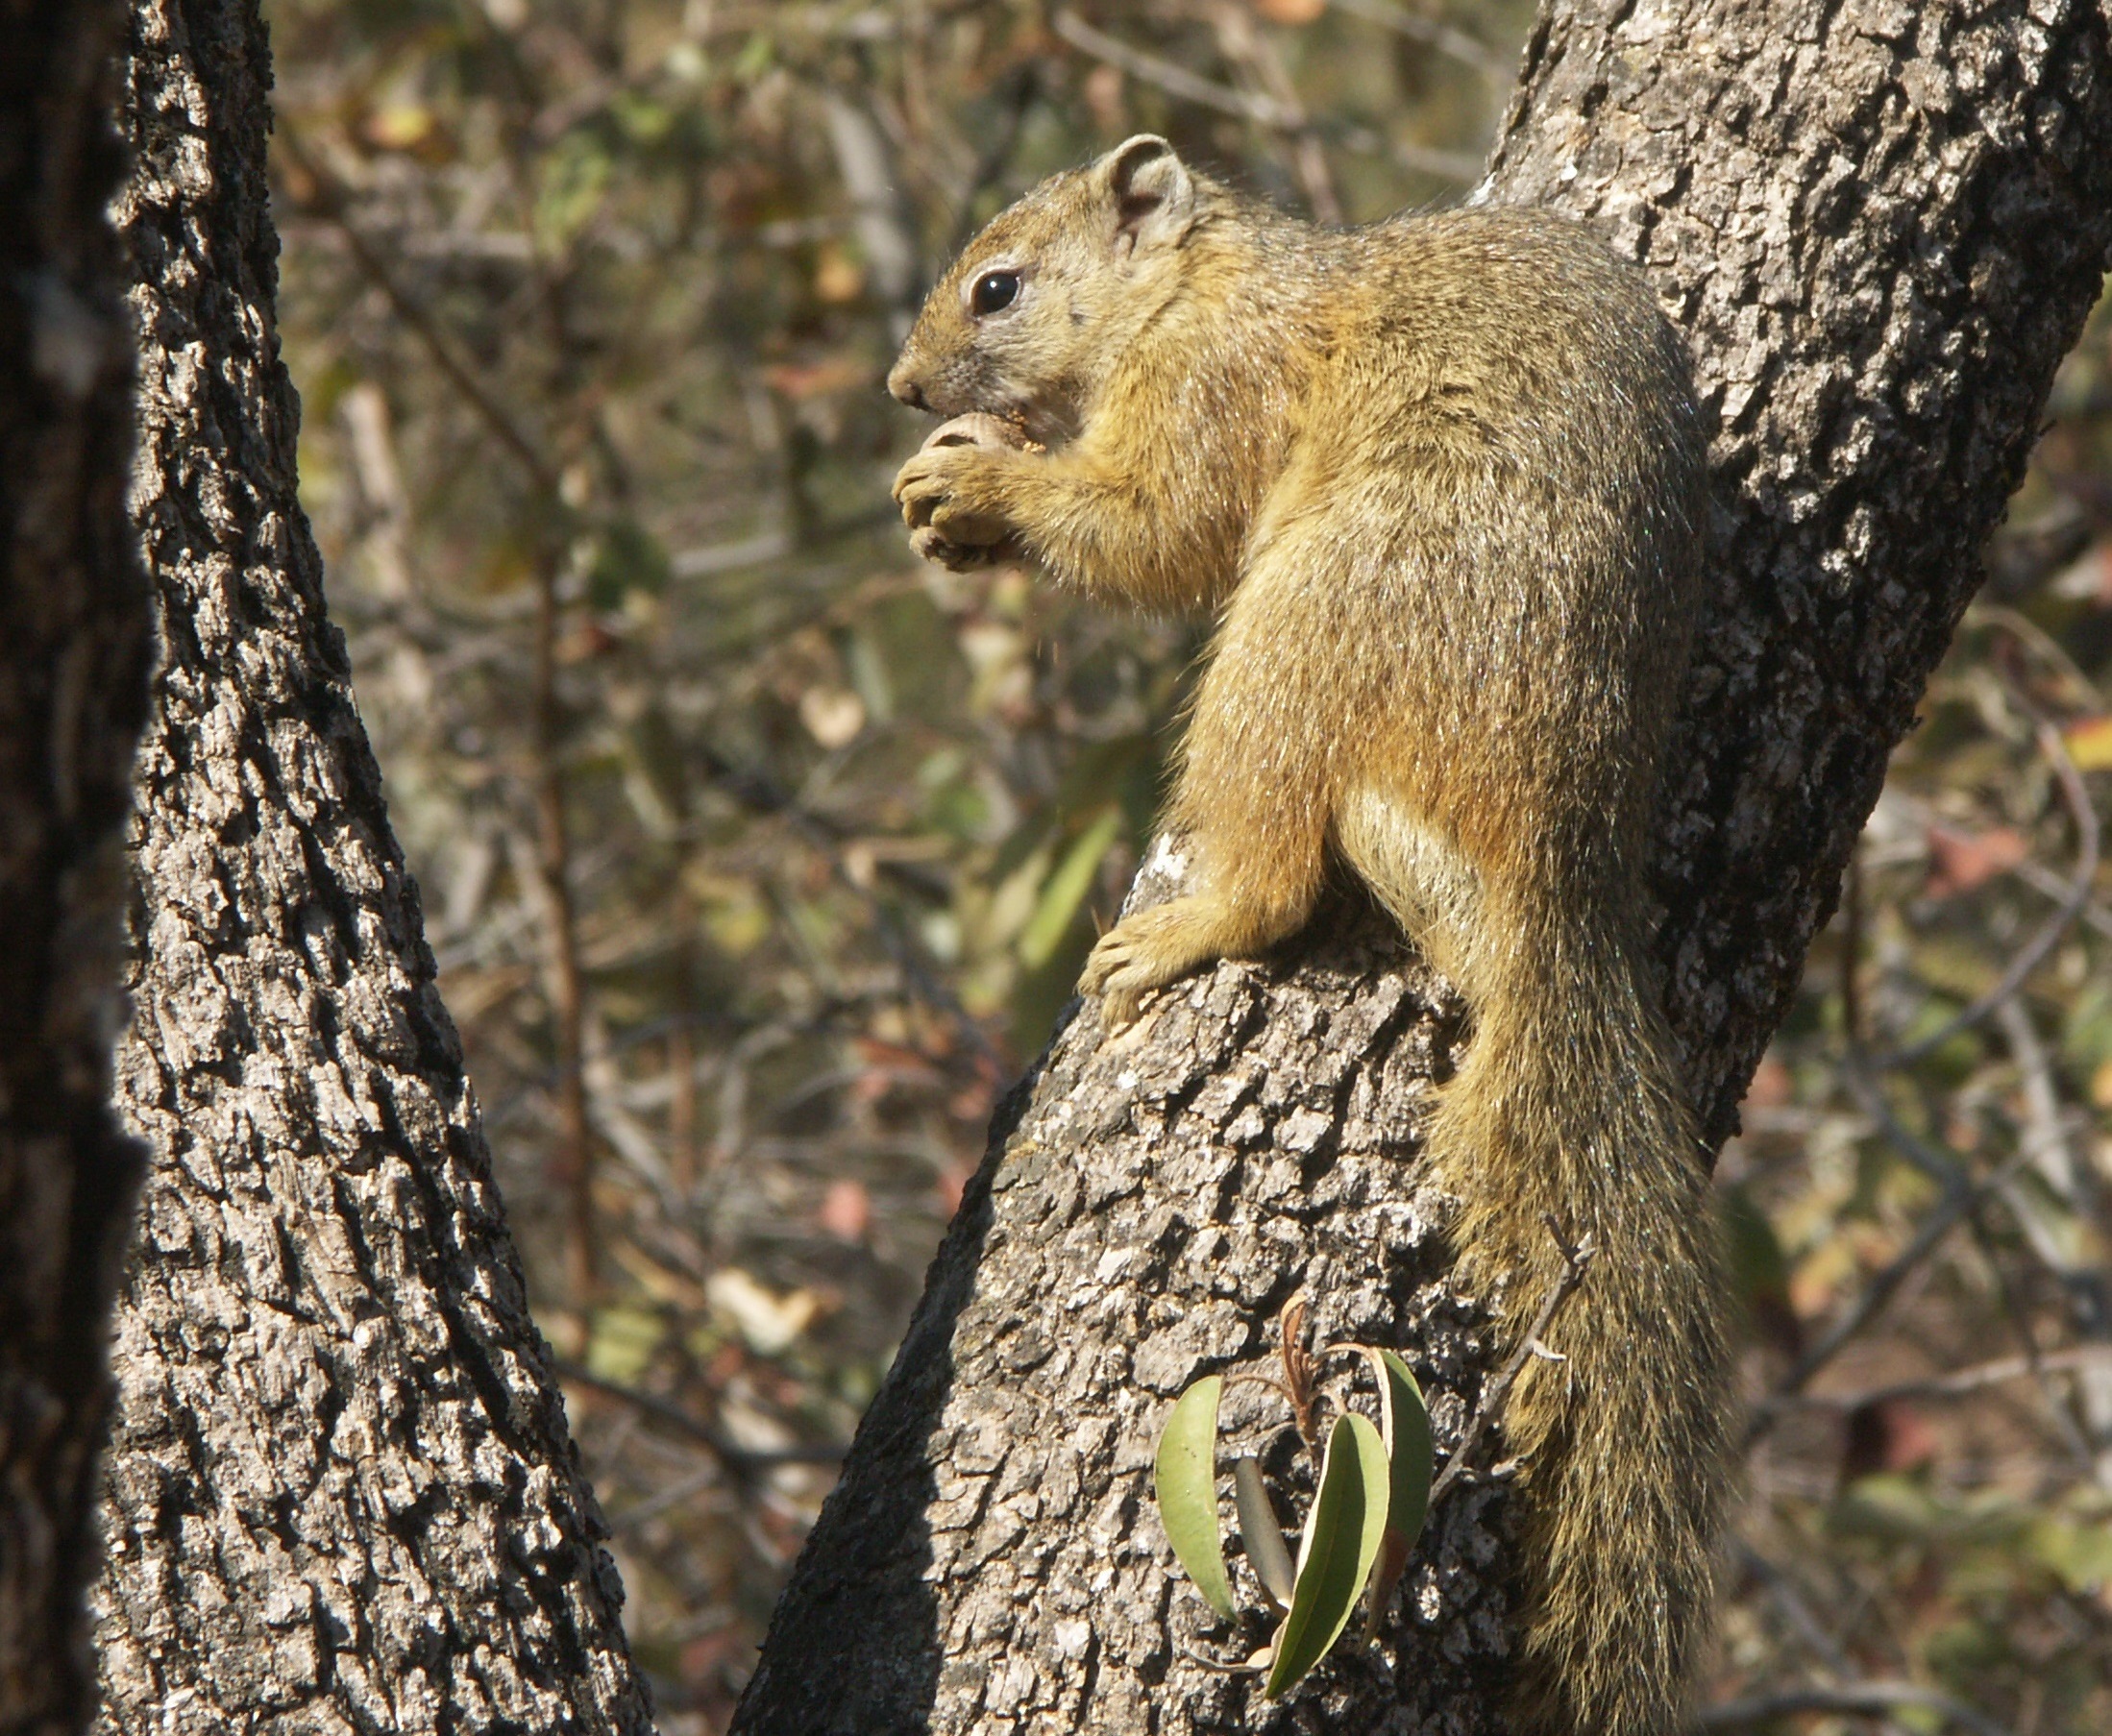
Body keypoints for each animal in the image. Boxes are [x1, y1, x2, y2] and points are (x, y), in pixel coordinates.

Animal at [891, 135, 1731, 1736]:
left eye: (997, 285)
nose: (905, 390)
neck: (1205, 282)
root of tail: (1553, 859)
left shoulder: (1216, 383)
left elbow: (1150, 520)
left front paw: (984, 482)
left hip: (1301, 627)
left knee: (1275, 859)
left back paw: (1181, 927)